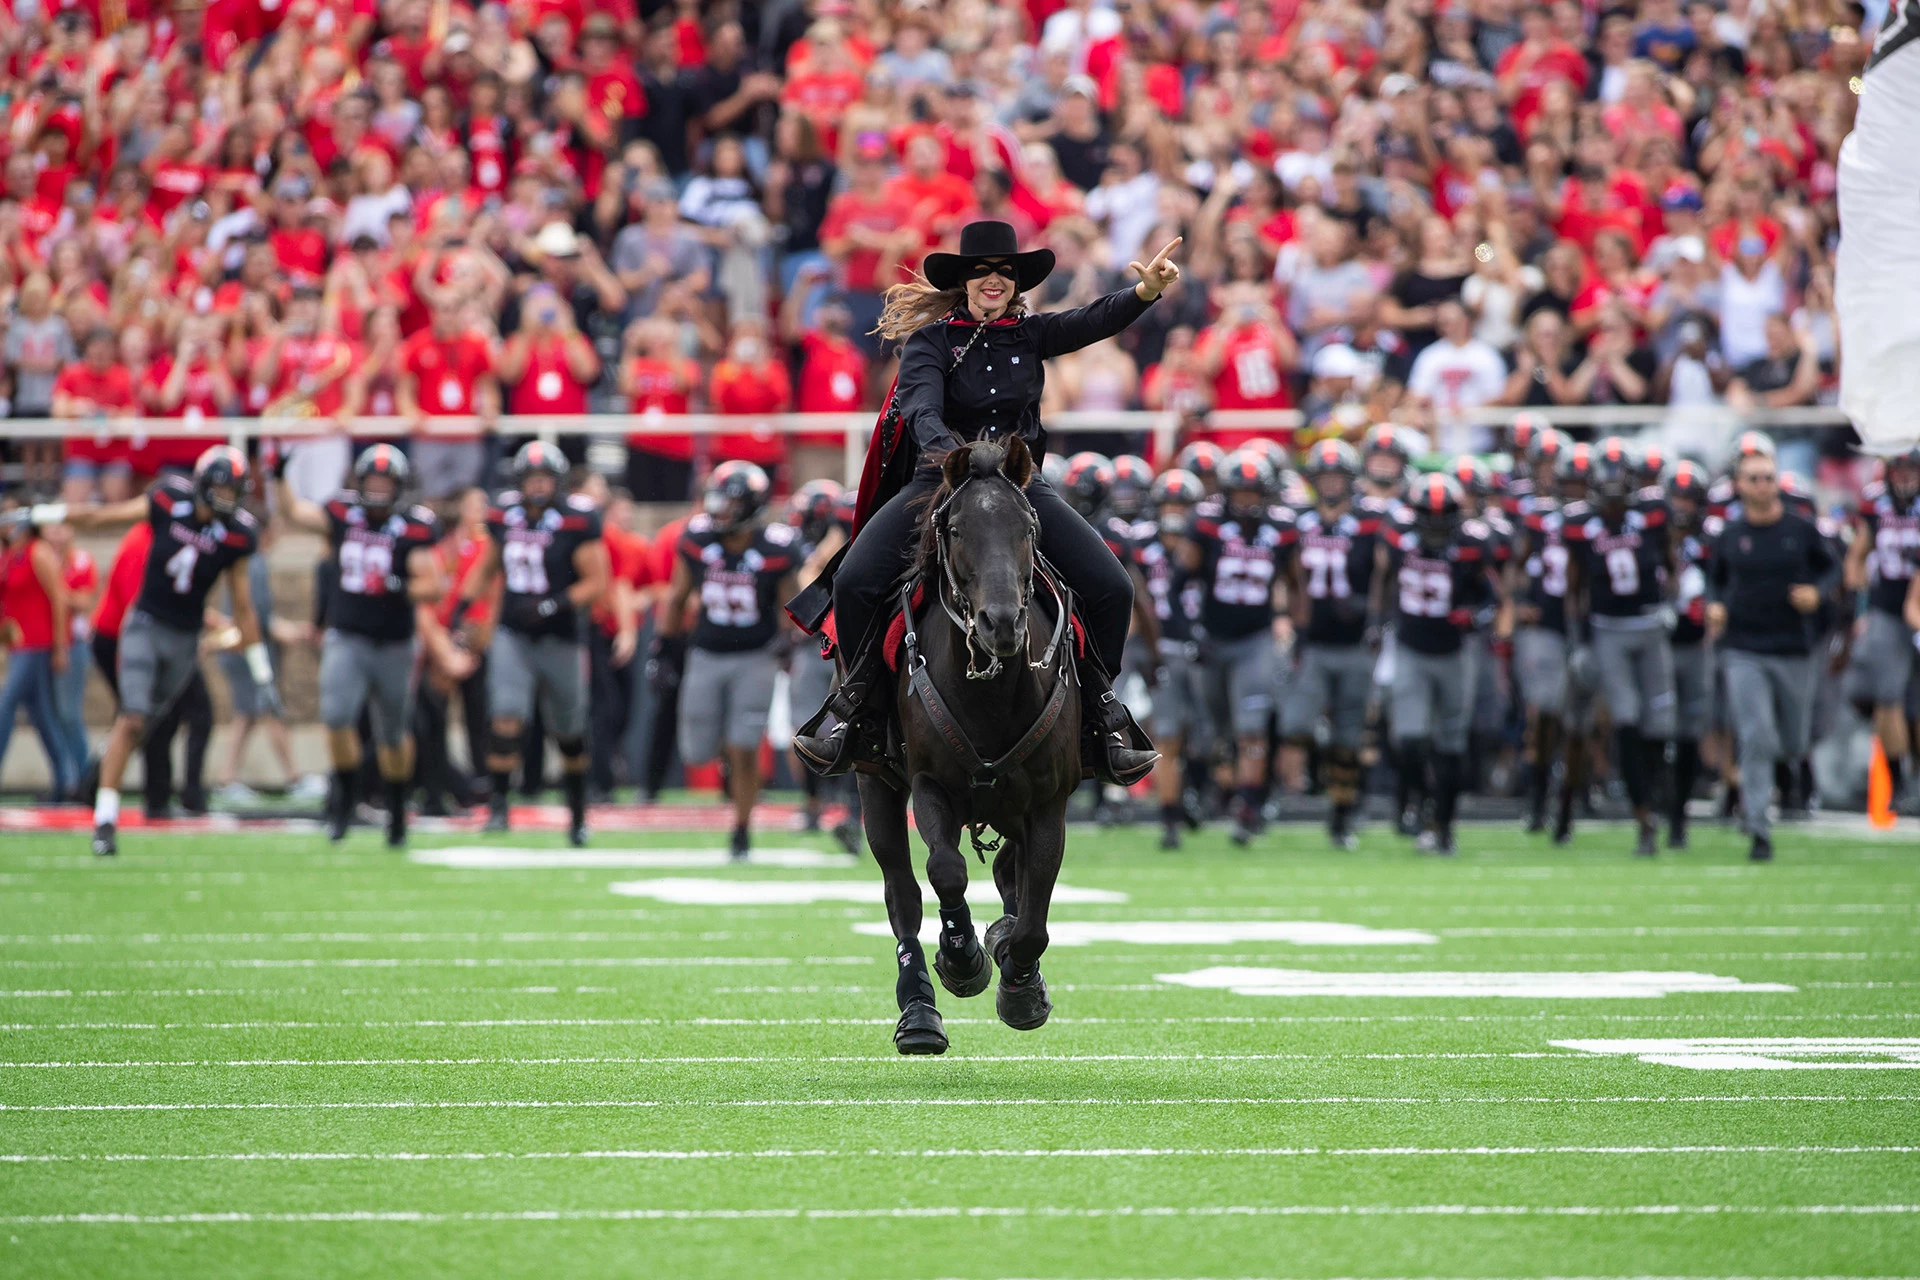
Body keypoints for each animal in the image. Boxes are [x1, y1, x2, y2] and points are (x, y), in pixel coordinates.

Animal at [864, 435, 1090, 1059]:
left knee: (1013, 873)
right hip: (874, 785)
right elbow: (945, 870)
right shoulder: (929, 785)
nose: (1001, 623)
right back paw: (919, 1012)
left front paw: (1019, 982)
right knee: (902, 891)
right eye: (959, 529)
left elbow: (1035, 913)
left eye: (1027, 527)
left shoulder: (1048, 803)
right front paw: (962, 957)